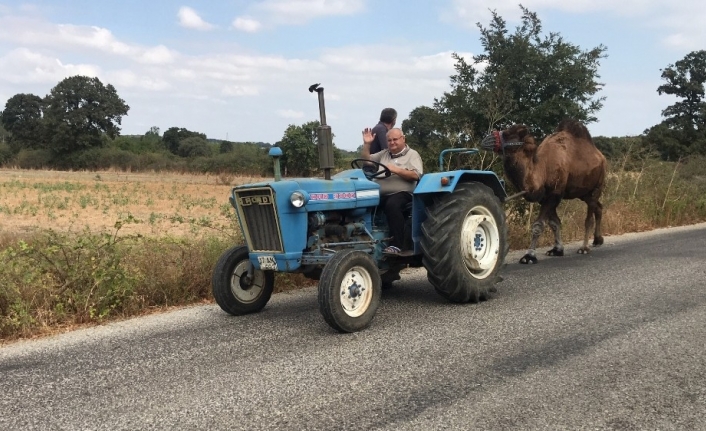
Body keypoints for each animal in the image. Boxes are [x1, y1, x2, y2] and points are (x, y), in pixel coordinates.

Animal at [478, 120, 604, 264]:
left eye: (507, 134)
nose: (485, 140)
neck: (542, 170)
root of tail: (601, 157)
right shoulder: (545, 197)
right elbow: (554, 223)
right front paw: (556, 250)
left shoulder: (554, 194)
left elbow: (538, 225)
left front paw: (529, 256)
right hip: (583, 193)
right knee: (599, 207)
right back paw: (598, 240)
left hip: (597, 186)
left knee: (589, 217)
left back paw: (584, 248)